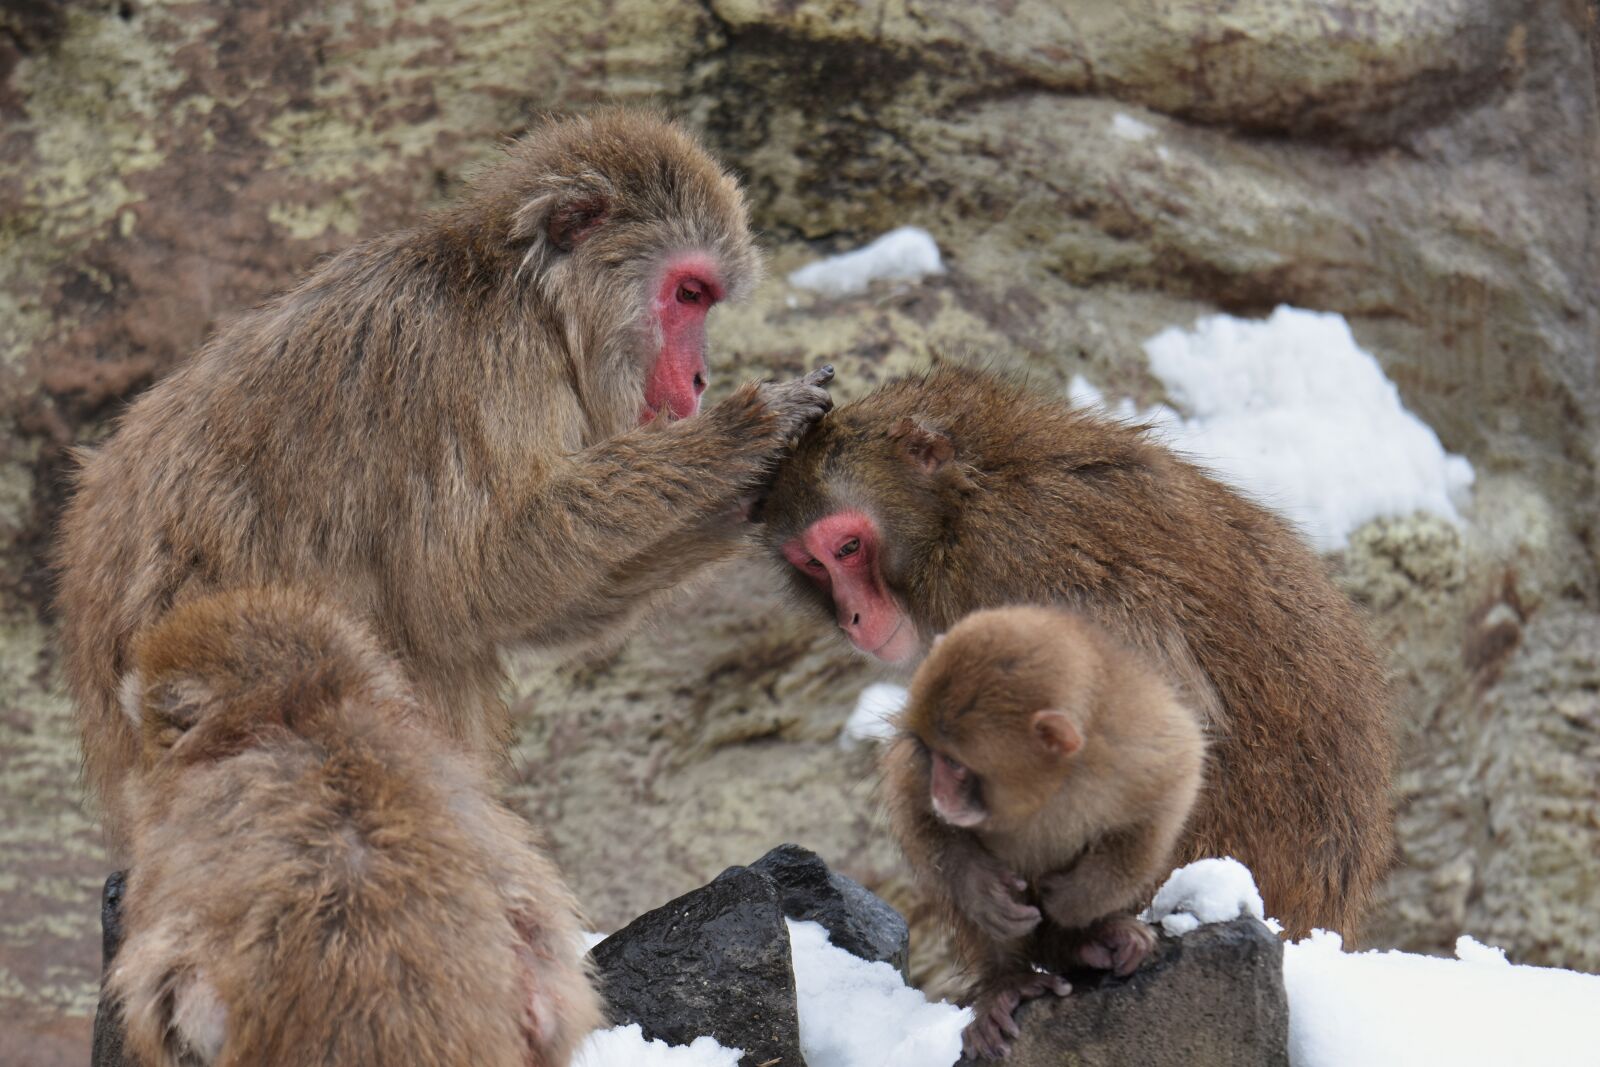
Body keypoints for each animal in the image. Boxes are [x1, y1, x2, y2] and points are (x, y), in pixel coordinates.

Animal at [57, 108, 834, 851]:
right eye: (690, 293)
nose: (701, 379)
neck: (531, 300)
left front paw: (757, 493)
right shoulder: (474, 364)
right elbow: (474, 576)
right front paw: (745, 433)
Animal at [884, 606, 1204, 1060]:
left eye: (957, 765)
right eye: (932, 754)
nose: (941, 794)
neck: (1052, 782)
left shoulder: (1139, 744)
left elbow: (1169, 797)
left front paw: (1078, 900)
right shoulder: (917, 770)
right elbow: (914, 809)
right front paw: (982, 889)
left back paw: (1087, 940)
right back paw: (1008, 983)